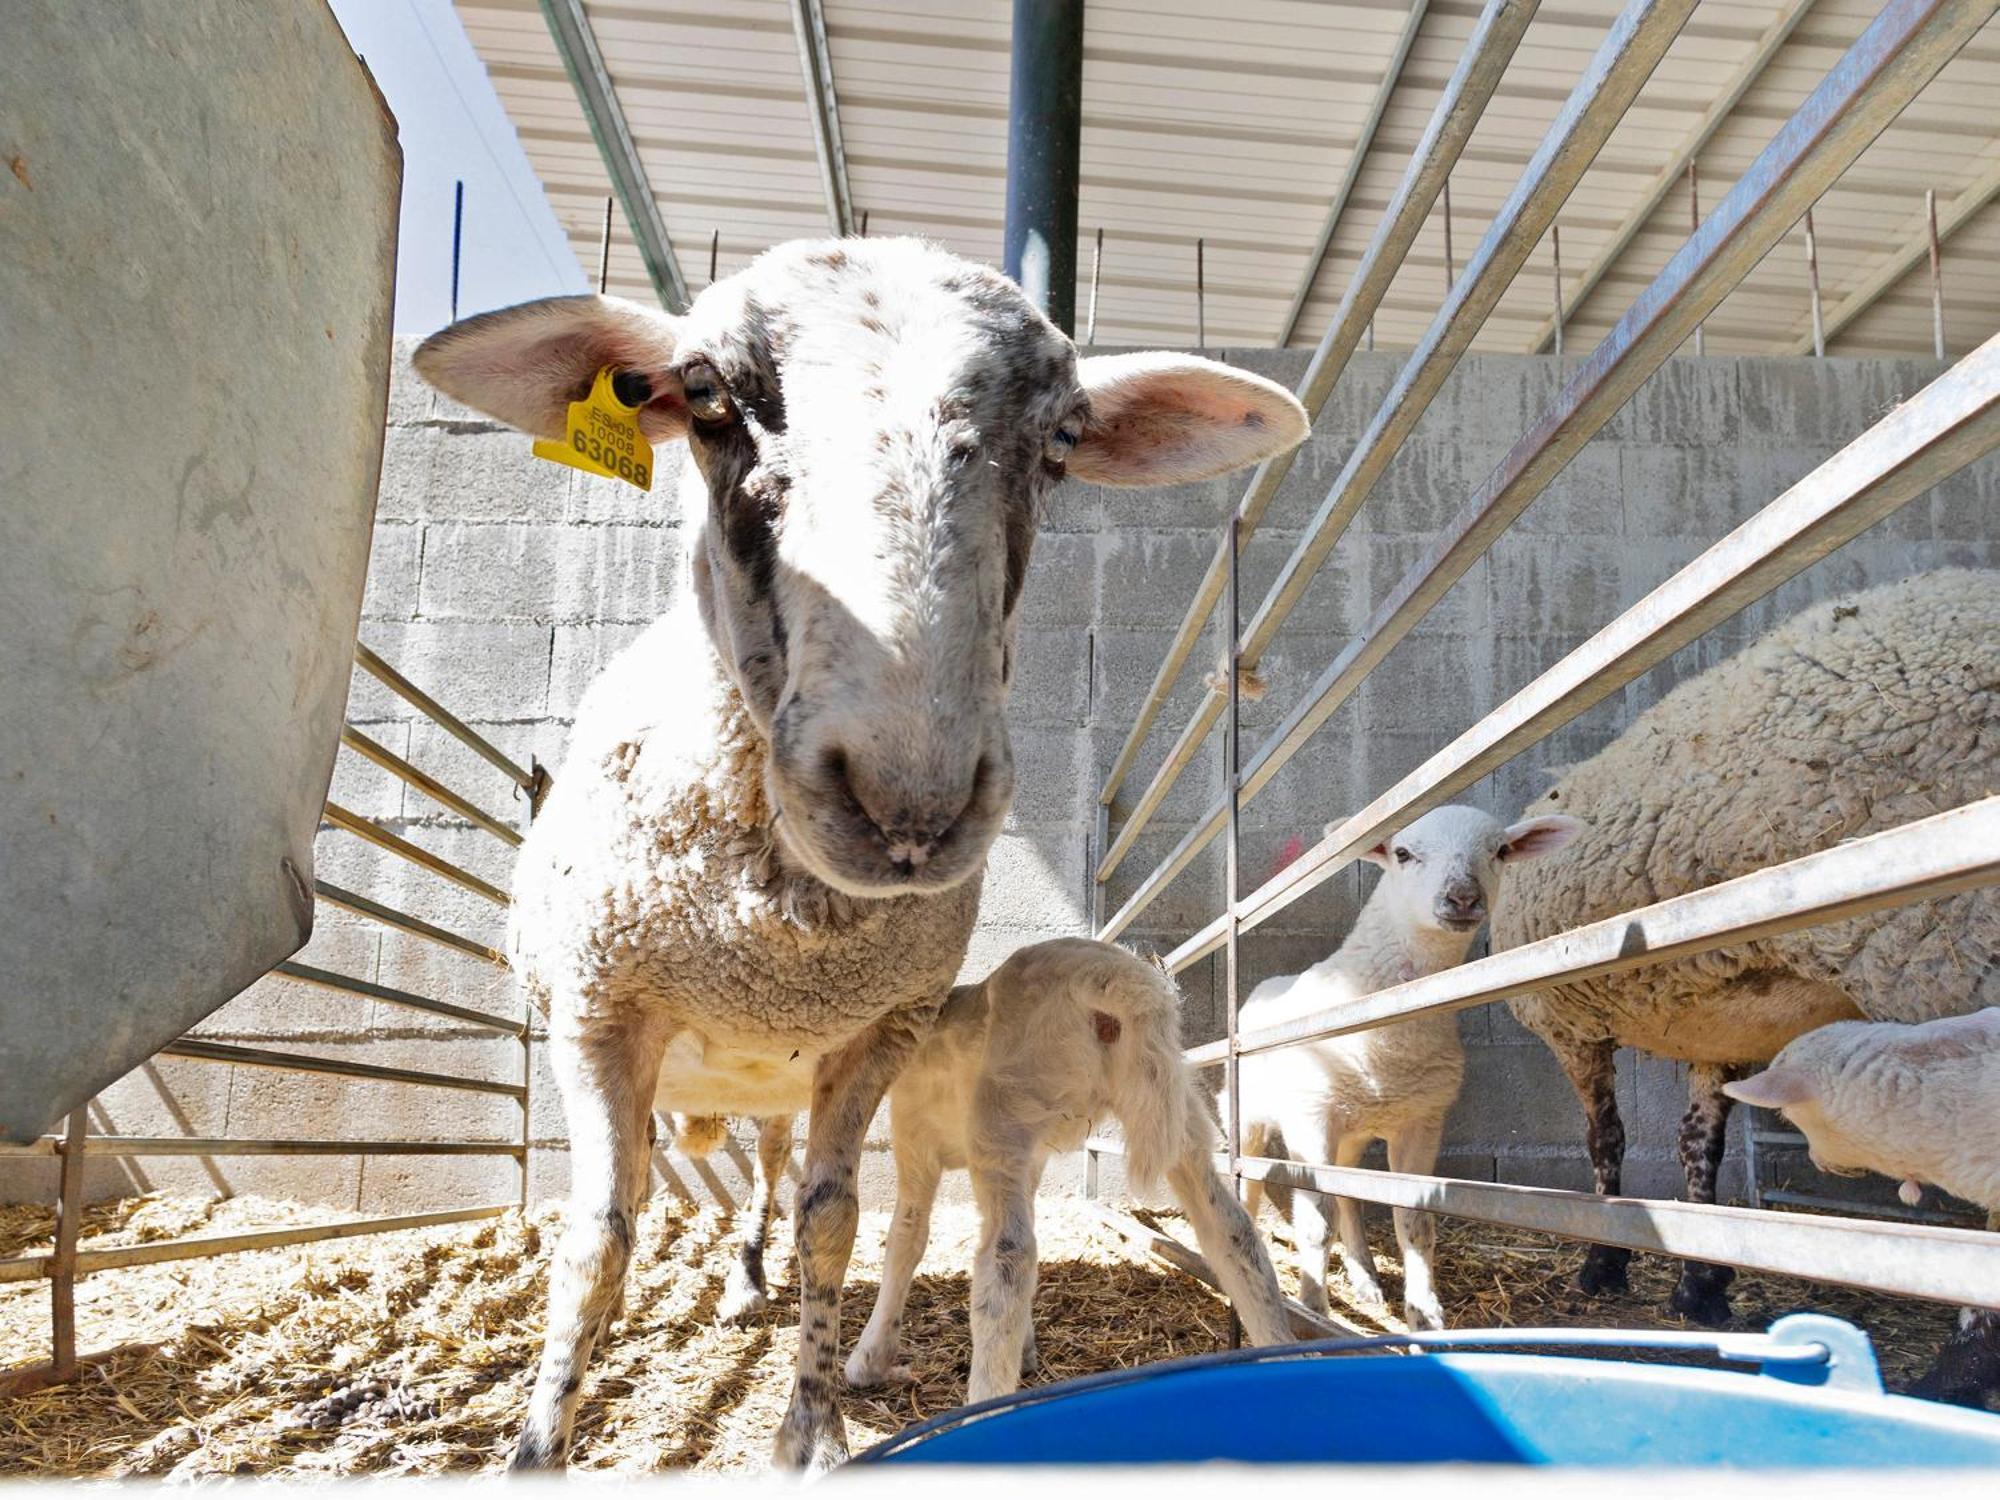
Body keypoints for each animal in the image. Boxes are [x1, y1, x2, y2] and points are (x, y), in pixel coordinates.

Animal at [410, 241, 1312, 1472]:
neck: (776, 938)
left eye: (1065, 440)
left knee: (774, 1179)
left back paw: (754, 1282)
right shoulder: (595, 1011)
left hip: (788, 1088)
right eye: (705, 396)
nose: (909, 802)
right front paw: (537, 1451)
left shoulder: (874, 1033)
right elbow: (597, 1240)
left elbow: (830, 1224)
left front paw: (809, 1431)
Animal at [1216, 804, 1576, 1336]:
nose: (1463, 896)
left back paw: (1364, 1277)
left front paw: (1424, 1314)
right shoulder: (1311, 1117)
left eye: (1500, 851)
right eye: (1403, 853)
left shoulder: (1422, 1120)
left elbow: (1415, 1222)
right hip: (1248, 1115)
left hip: (1354, 1132)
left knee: (1349, 1195)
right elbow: (1315, 1222)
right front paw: (1313, 1308)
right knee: (1252, 1185)